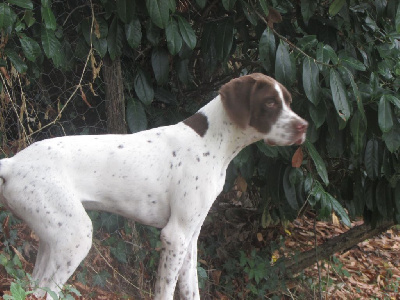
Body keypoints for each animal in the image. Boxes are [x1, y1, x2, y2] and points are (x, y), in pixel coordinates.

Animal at [0, 73, 306, 300]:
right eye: (270, 103)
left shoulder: (190, 239)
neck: (210, 142)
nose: (304, 126)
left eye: (289, 102)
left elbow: (191, 290)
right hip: (74, 237)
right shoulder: (175, 236)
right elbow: (165, 290)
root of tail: (12, 163)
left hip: (52, 237)